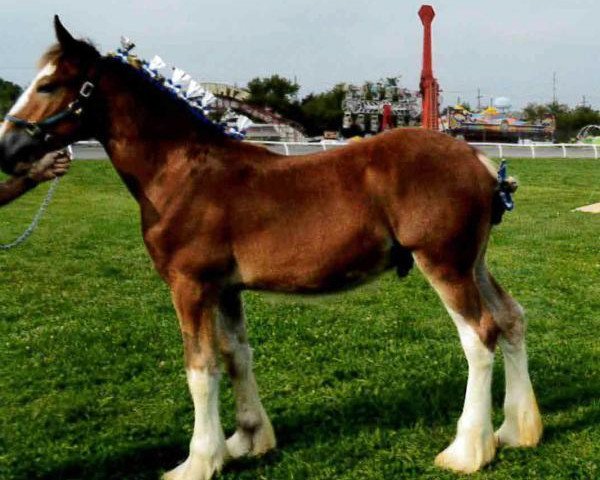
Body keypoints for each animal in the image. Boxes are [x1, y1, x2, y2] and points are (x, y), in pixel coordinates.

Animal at [0, 15, 544, 480]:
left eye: (48, 86)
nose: (8, 150)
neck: (182, 174)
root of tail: (478, 162)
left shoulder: (189, 287)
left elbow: (200, 368)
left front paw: (198, 461)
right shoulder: (225, 289)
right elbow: (236, 355)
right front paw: (247, 441)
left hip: (444, 264)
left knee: (479, 336)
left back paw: (467, 450)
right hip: (472, 263)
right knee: (511, 319)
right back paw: (516, 431)